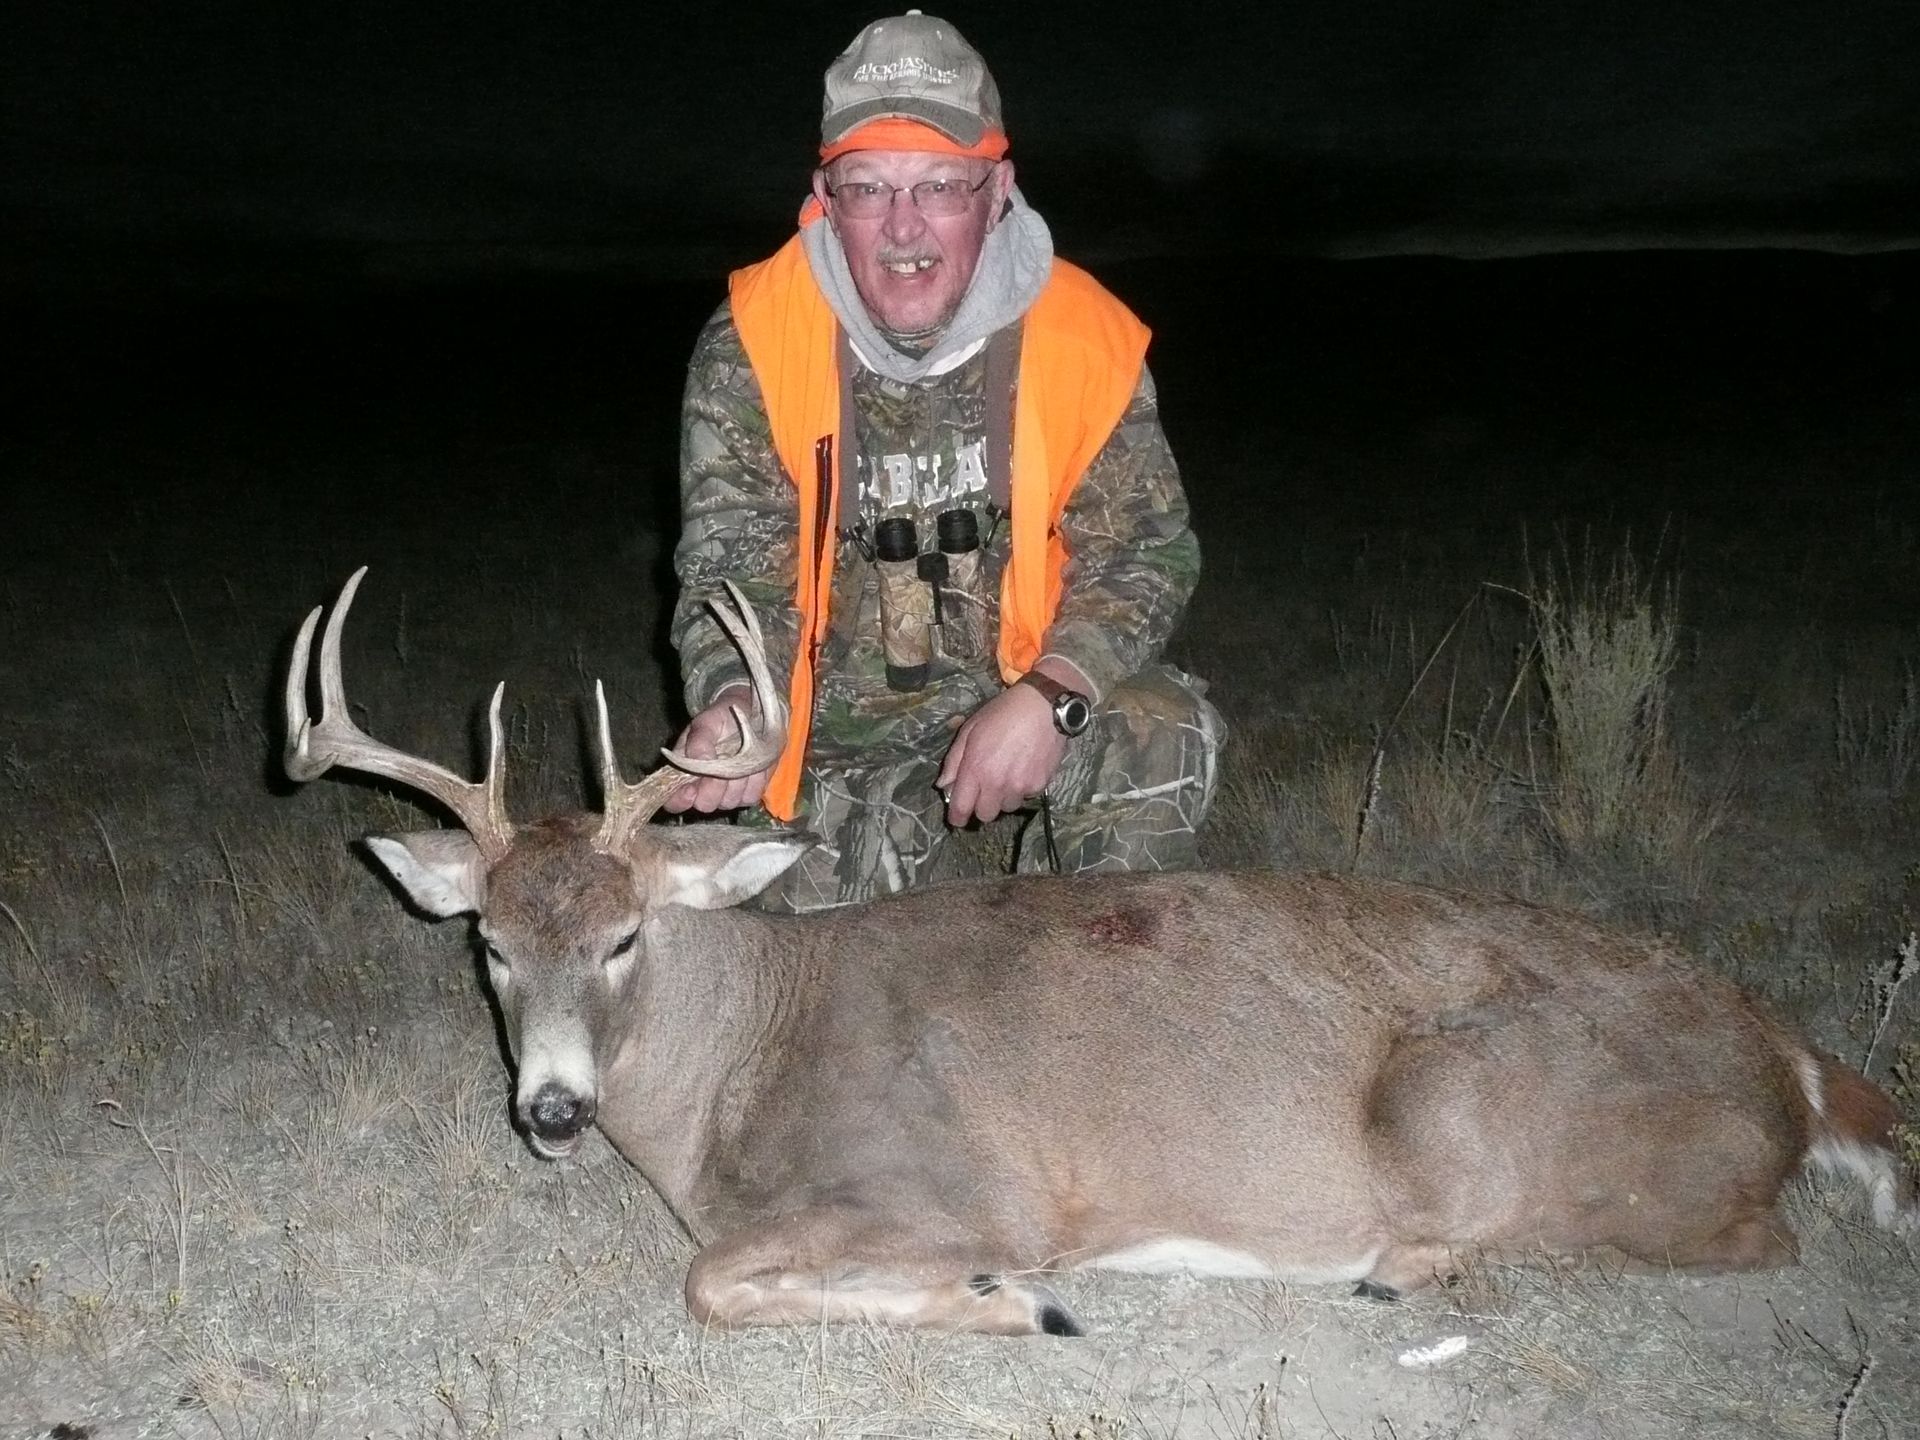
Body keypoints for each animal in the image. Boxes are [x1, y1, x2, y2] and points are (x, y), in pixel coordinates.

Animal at [282, 568, 1916, 1336]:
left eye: (626, 935)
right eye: (491, 945)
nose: (552, 1109)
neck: (738, 1078)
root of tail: (1792, 1055)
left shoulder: (958, 1185)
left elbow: (714, 1280)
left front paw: (1016, 1303)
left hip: (1468, 1111)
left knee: (1745, 1238)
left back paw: (1399, 1267)